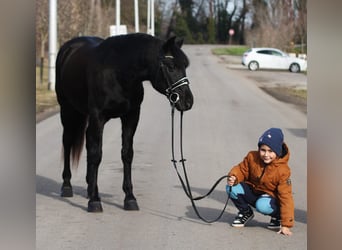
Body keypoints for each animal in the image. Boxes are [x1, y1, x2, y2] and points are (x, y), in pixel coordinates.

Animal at [56, 33, 195, 212]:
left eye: (185, 66)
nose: (188, 101)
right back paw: (67, 186)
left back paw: (89, 186)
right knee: (67, 142)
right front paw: (94, 201)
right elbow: (96, 154)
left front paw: (129, 198)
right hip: (67, 109)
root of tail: (69, 46)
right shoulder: (98, 117)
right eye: (171, 66)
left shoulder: (131, 116)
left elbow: (127, 154)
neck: (117, 72)